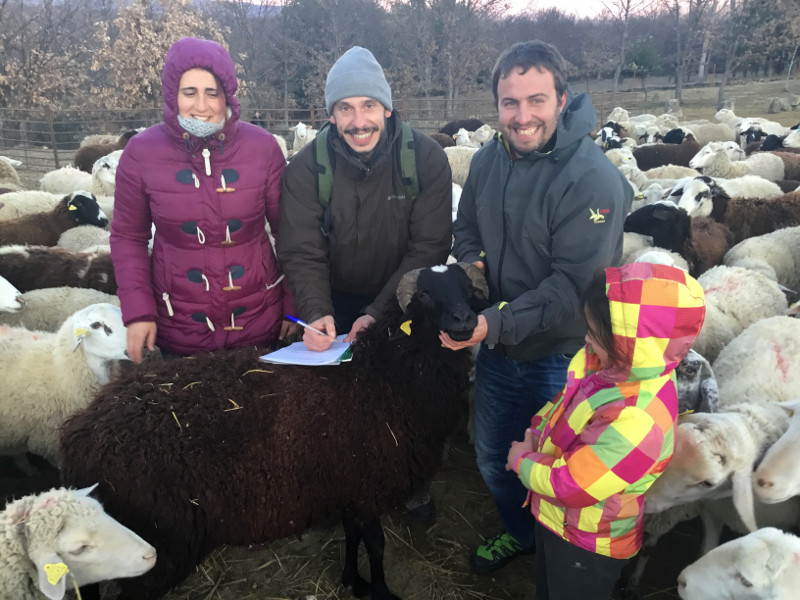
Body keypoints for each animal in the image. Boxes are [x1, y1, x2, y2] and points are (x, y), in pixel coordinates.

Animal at [61, 264, 488, 600]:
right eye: (427, 296)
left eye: (467, 289)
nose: (465, 321)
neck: (384, 373)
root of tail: (81, 434)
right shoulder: (369, 490)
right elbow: (378, 546)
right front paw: (381, 592)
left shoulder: (349, 488)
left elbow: (352, 537)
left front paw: (352, 580)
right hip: (158, 546)